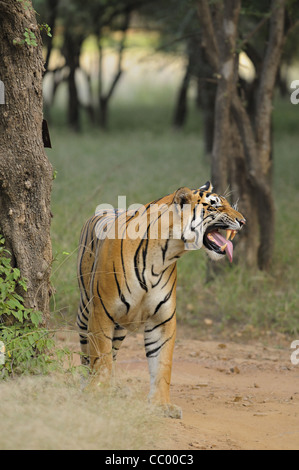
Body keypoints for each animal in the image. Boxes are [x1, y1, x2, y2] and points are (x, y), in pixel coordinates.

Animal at [77, 181, 246, 418]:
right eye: (214, 205)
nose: (243, 221)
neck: (166, 252)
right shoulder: (102, 311)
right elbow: (100, 356)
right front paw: (99, 392)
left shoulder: (162, 320)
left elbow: (162, 364)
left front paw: (162, 405)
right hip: (86, 311)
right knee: (87, 354)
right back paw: (88, 384)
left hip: (119, 326)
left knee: (114, 353)